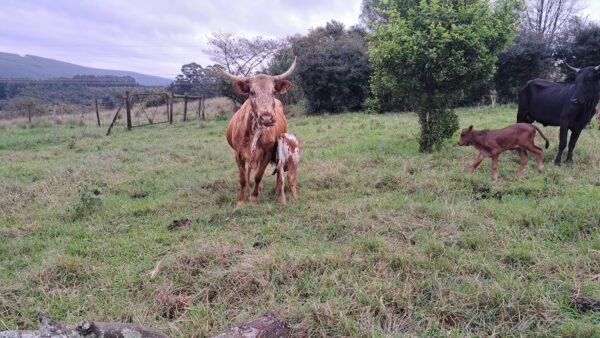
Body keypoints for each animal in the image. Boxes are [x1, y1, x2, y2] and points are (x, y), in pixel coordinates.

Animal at [223, 59, 296, 210]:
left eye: (273, 92)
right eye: (252, 92)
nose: (266, 117)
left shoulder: (267, 153)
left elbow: (259, 175)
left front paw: (254, 197)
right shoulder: (238, 154)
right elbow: (242, 178)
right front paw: (241, 200)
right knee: (249, 171)